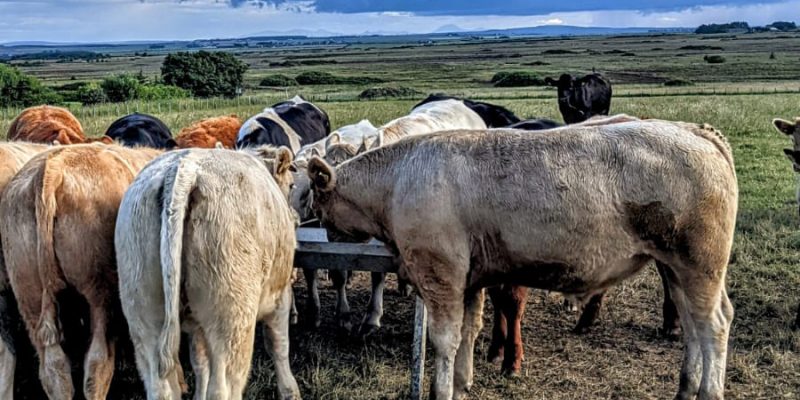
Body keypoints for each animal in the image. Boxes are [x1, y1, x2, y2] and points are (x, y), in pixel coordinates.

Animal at [115, 146, 300, 399]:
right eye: (291, 185)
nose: (296, 219)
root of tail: (184, 168)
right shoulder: (281, 295)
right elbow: (278, 345)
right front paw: (290, 391)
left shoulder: (196, 325)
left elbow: (199, 361)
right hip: (232, 320)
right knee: (224, 387)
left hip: (142, 308)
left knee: (160, 385)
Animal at [307, 118, 737, 400]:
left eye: (316, 198)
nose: (326, 232)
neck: (397, 180)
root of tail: (696, 131)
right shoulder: (470, 279)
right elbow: (469, 331)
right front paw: (462, 383)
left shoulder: (440, 274)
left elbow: (445, 341)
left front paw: (442, 388)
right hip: (675, 269)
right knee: (693, 326)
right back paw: (686, 388)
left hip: (699, 265)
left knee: (713, 326)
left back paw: (708, 391)